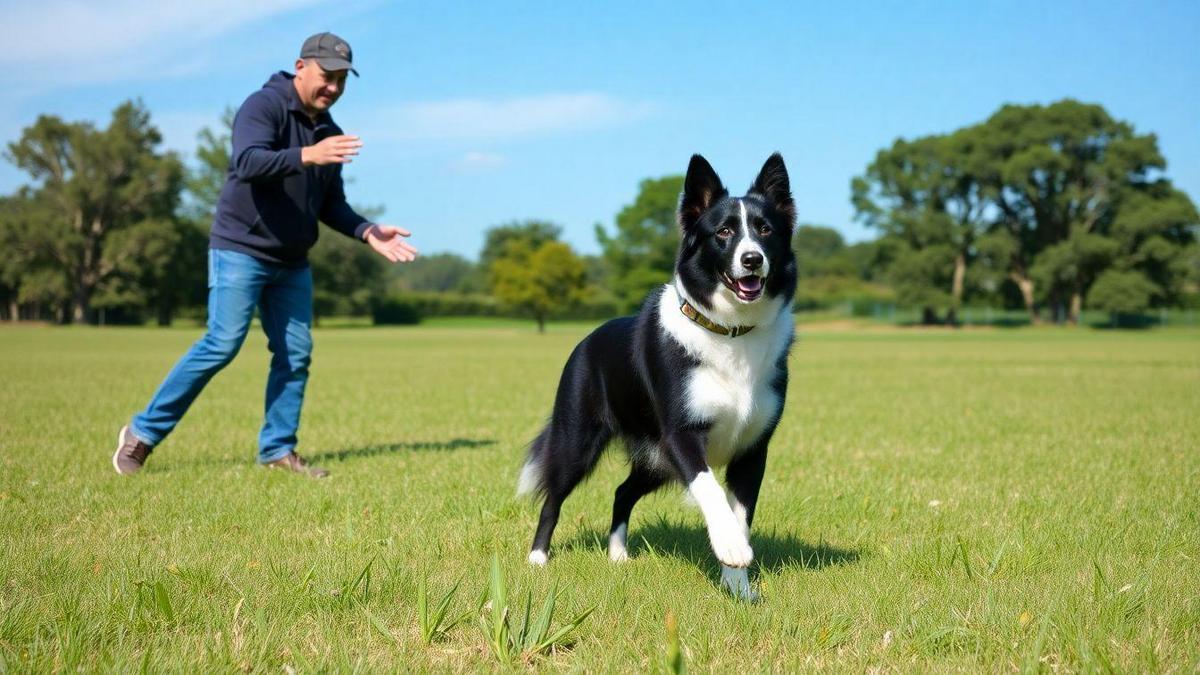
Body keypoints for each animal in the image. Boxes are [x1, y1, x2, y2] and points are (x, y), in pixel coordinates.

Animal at [518, 152, 792, 598]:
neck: (730, 331)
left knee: (622, 491)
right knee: (552, 496)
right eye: (724, 232)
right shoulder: (682, 436)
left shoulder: (753, 450)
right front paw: (730, 548)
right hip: (579, 439)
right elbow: (710, 490)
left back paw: (617, 555)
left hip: (654, 460)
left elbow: (741, 515)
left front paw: (738, 585)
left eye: (765, 229)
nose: (752, 259)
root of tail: (586, 339)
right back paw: (538, 558)